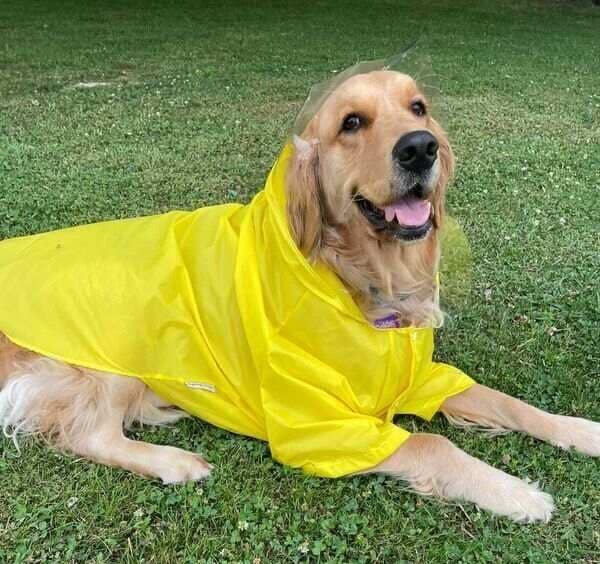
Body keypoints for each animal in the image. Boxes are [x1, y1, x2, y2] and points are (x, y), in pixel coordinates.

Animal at [0, 71, 596, 524]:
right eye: (351, 123)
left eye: (418, 108)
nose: (420, 147)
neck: (354, 273)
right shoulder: (320, 427)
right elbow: (433, 444)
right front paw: (516, 493)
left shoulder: (419, 375)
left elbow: (508, 402)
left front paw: (582, 431)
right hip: (115, 348)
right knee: (85, 433)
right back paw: (175, 462)